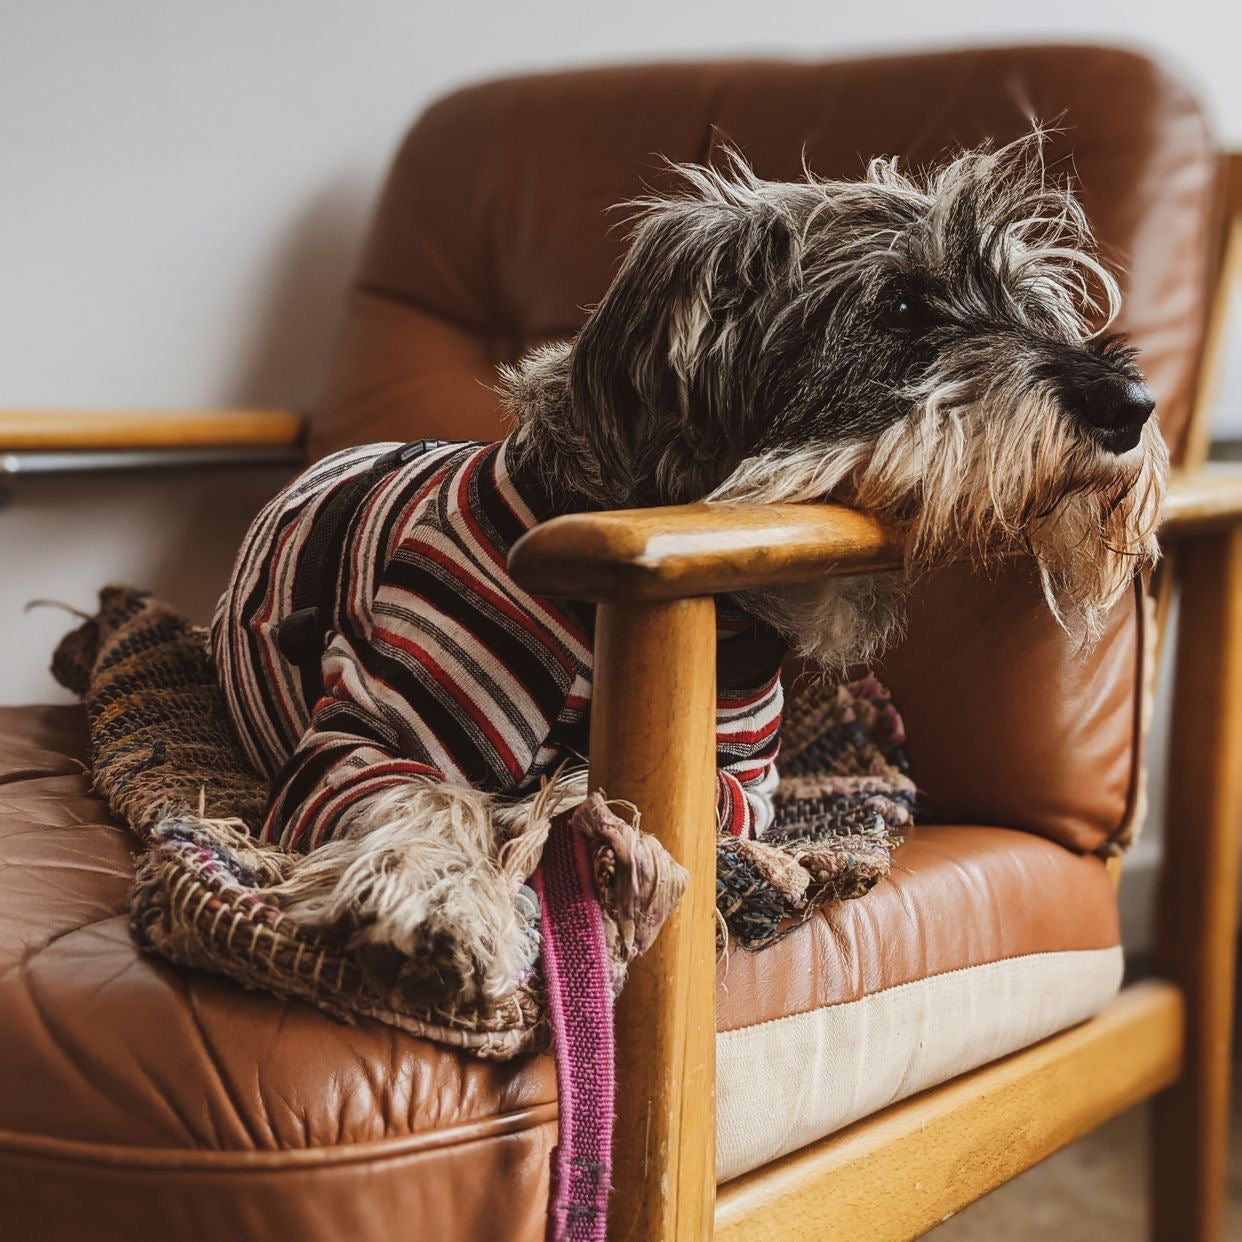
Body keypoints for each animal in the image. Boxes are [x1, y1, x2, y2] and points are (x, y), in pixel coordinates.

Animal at [211, 131, 1162, 1003]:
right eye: (899, 305)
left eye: (1031, 304)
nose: (1132, 405)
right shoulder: (375, 735)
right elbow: (426, 797)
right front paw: (436, 903)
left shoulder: (742, 784)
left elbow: (619, 793)